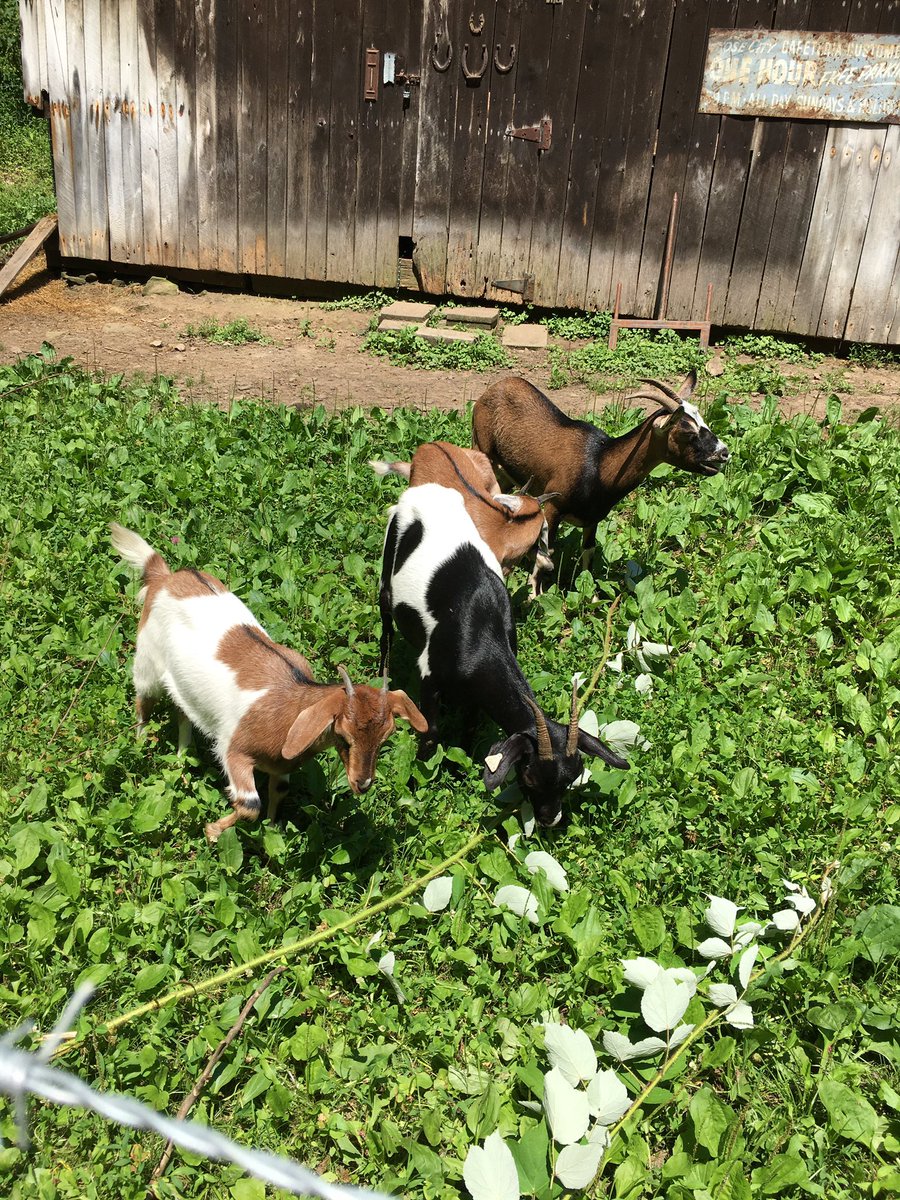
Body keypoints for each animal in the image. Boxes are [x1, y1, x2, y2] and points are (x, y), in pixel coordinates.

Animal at [111, 523, 427, 842]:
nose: (362, 783)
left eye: (386, 738)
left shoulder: (282, 765)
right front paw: (213, 831)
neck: (289, 708)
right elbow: (250, 804)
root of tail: (164, 577)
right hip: (148, 661)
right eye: (344, 736)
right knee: (143, 702)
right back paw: (140, 742)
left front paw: (274, 829)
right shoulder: (233, 749)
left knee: (183, 712)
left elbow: (280, 791)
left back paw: (182, 757)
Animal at [377, 484, 628, 827]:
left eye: (569, 780)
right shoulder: (429, 675)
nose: (551, 819)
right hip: (388, 566)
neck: (482, 635)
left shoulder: (476, 691)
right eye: (531, 776)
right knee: (385, 623)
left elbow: (469, 727)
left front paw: (460, 769)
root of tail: (421, 490)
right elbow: (430, 733)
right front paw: (419, 784)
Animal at [472, 371, 730, 591]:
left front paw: (591, 596)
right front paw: (535, 594)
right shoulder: (553, 506)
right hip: (481, 448)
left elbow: (589, 552)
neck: (599, 464)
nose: (724, 452)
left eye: (705, 422)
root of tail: (495, 387)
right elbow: (547, 552)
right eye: (688, 431)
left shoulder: (592, 518)